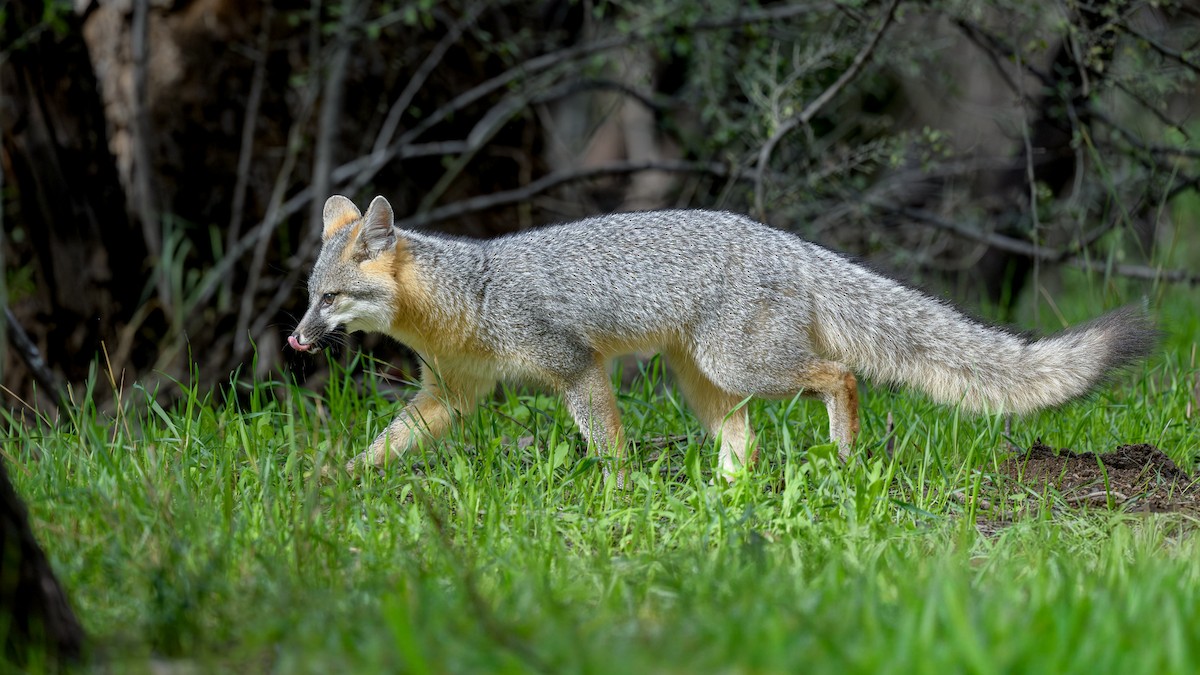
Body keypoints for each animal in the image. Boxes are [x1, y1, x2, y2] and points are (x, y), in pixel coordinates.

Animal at [289, 194, 1156, 481]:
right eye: (306, 298)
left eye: (331, 299)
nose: (296, 341)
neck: (470, 295)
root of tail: (785, 239)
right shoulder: (450, 398)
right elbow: (382, 444)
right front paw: (335, 478)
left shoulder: (576, 368)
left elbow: (608, 446)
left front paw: (620, 497)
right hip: (705, 379)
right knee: (747, 440)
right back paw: (730, 497)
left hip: (742, 365)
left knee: (840, 374)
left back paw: (843, 455)